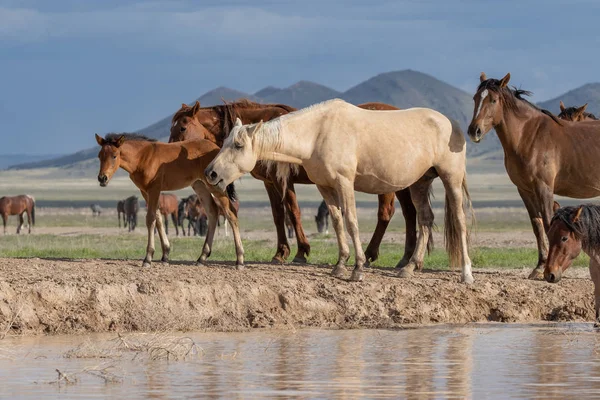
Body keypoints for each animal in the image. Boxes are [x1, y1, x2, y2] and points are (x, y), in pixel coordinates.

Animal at [96, 133, 241, 268]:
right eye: (99, 156)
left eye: (114, 156)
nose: (102, 178)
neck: (142, 157)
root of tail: (217, 149)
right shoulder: (145, 192)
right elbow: (158, 218)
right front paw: (165, 254)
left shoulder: (154, 189)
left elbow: (151, 219)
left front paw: (148, 258)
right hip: (200, 185)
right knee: (213, 212)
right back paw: (202, 257)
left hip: (215, 186)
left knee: (231, 213)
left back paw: (239, 259)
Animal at [169, 99, 422, 268]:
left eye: (182, 127)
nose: (169, 150)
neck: (266, 134)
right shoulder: (270, 183)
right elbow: (278, 215)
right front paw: (281, 252)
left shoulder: (283, 181)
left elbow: (292, 211)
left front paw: (301, 251)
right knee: (410, 213)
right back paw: (405, 258)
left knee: (386, 213)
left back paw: (371, 254)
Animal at [206, 98, 474, 282]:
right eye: (225, 142)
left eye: (238, 145)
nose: (211, 173)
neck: (317, 134)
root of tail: (451, 123)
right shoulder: (325, 187)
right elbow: (336, 222)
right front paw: (340, 264)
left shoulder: (345, 183)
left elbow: (352, 222)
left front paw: (358, 268)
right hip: (420, 183)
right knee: (425, 219)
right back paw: (409, 267)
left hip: (450, 179)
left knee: (460, 220)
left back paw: (466, 273)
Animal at [468, 73, 600, 280]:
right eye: (475, 98)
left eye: (493, 100)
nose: (474, 131)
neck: (529, 136)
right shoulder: (525, 190)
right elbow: (537, 226)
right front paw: (539, 267)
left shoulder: (544, 188)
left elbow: (547, 223)